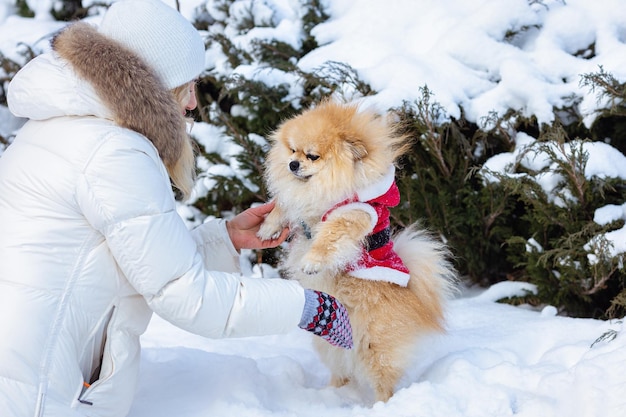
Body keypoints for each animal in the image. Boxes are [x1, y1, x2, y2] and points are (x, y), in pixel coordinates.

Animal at [256, 99, 456, 402]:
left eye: (312, 156)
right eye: (292, 150)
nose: (292, 164)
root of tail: (417, 300)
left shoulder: (354, 214)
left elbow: (329, 236)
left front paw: (312, 260)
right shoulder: (302, 203)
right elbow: (282, 206)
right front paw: (267, 228)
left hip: (376, 347)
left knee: (384, 380)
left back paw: (382, 406)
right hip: (331, 342)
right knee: (341, 368)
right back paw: (332, 394)